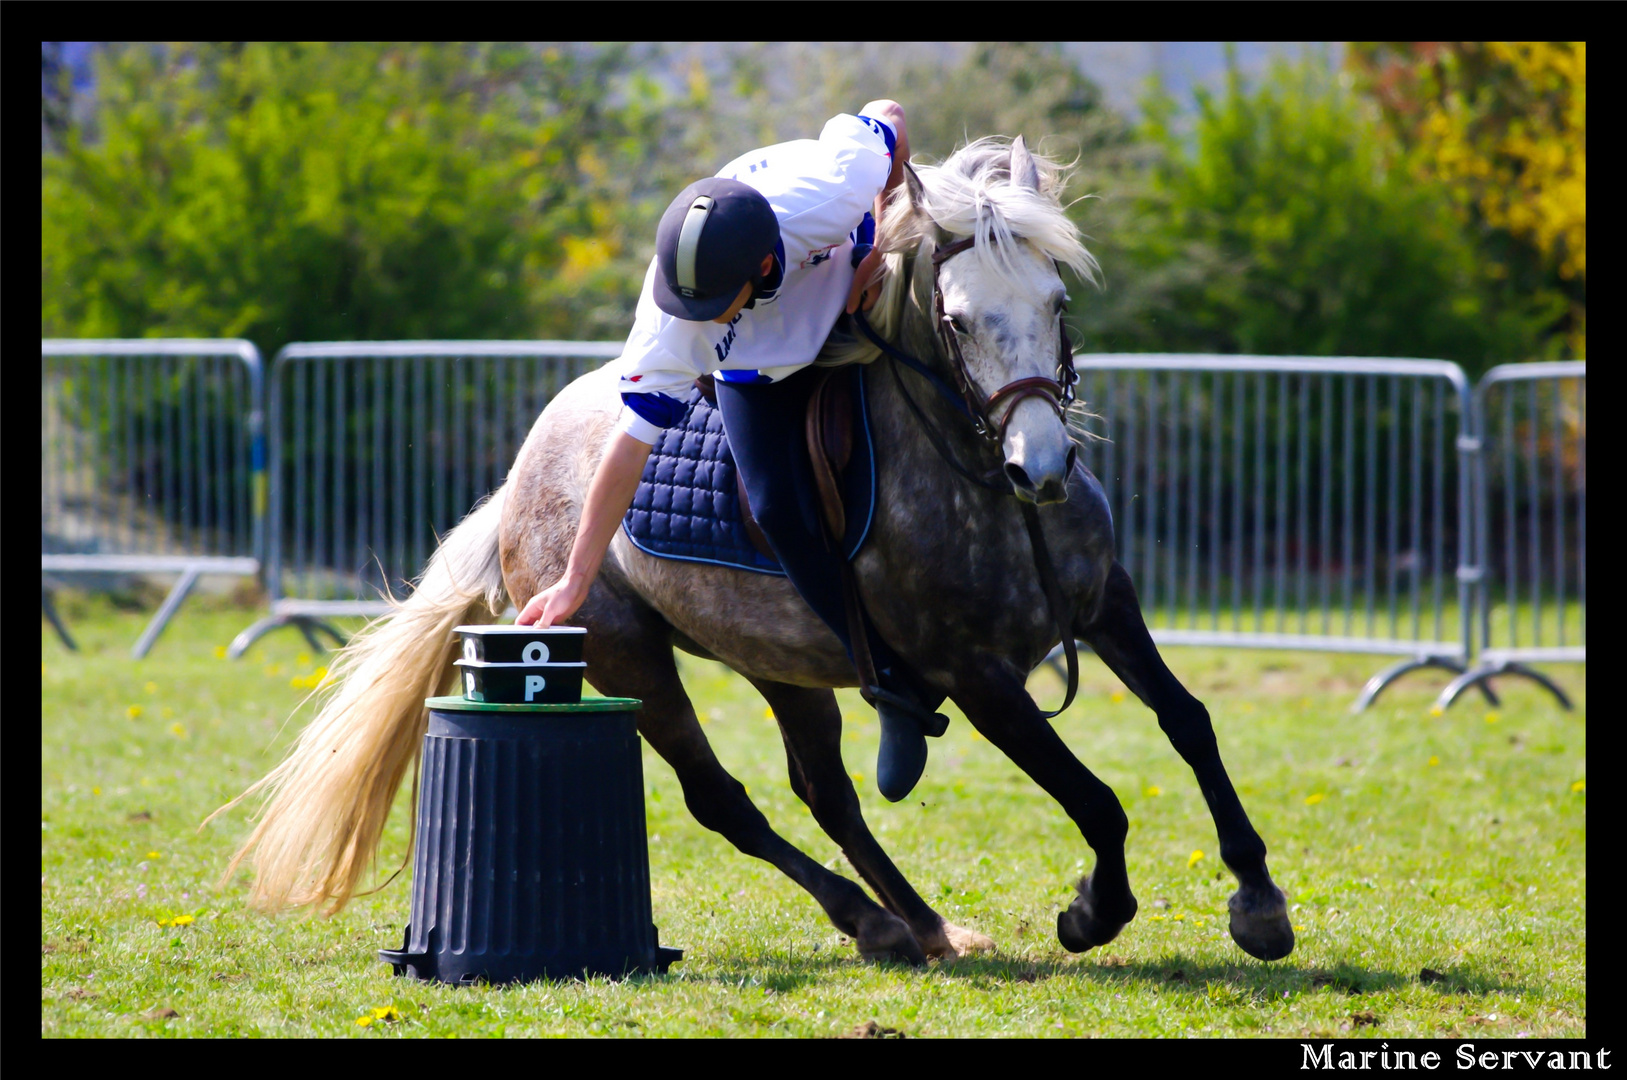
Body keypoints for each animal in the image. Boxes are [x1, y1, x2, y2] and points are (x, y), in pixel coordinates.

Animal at [216, 130, 1288, 962]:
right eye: (956, 319)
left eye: (1055, 304)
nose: (1044, 466)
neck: (983, 486)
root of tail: (523, 475)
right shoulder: (980, 679)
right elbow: (1096, 800)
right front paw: (1091, 912)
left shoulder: (1107, 604)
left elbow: (1189, 722)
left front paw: (1257, 900)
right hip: (630, 661)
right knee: (722, 800)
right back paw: (874, 921)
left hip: (781, 664)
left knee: (827, 792)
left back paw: (924, 925)